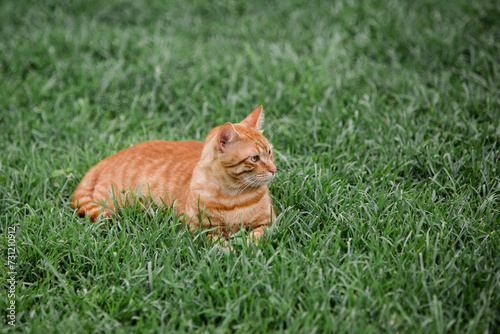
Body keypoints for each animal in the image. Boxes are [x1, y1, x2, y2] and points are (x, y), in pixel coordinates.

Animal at [71, 105, 276, 241]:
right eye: (254, 158)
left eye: (270, 152)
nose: (274, 170)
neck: (232, 196)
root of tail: (107, 159)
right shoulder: (202, 230)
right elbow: (220, 244)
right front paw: (230, 250)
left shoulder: (268, 223)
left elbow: (255, 238)